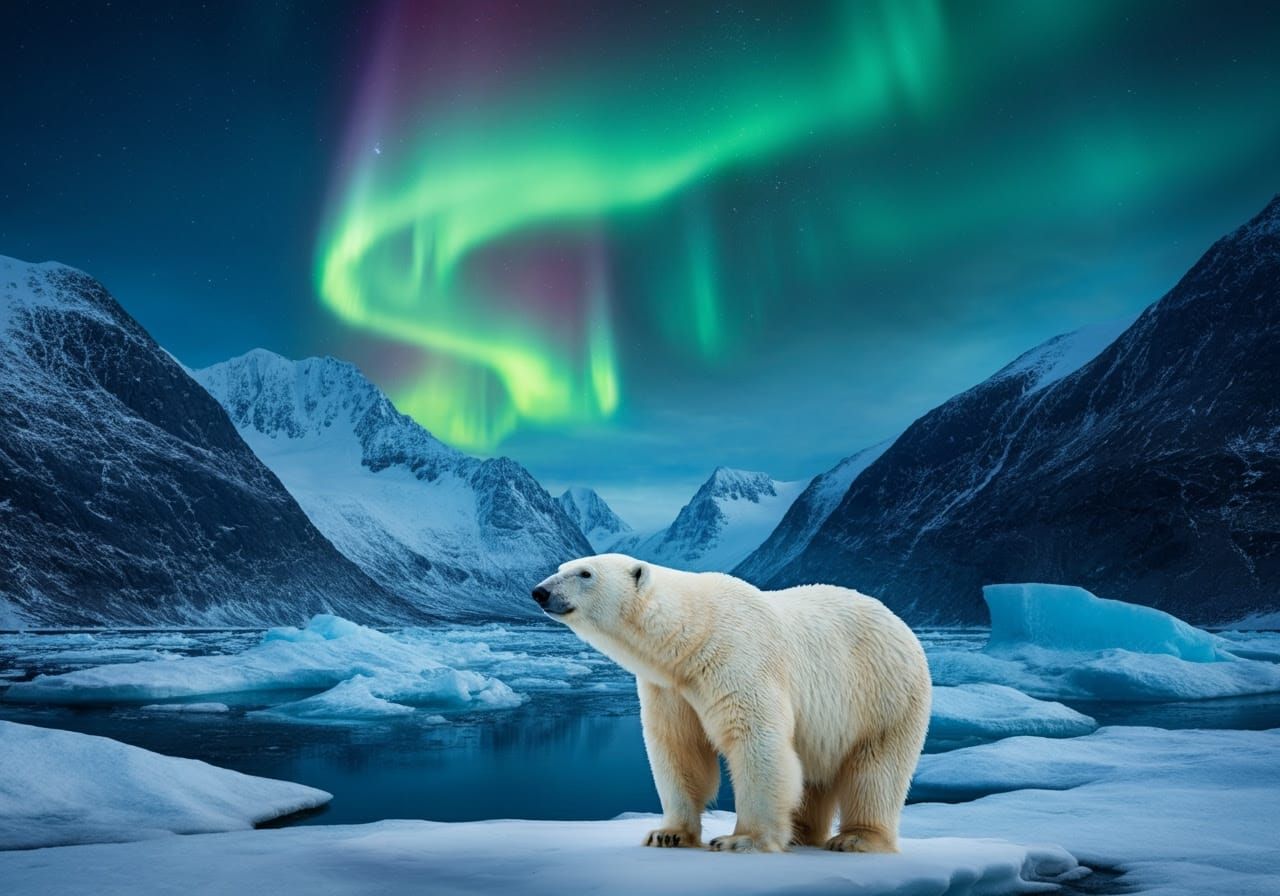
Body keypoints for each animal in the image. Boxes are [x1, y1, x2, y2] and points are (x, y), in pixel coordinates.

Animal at [532, 553, 931, 854]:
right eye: (562, 566)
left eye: (585, 573)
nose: (540, 591)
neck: (693, 635)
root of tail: (901, 624)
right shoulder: (670, 687)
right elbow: (680, 747)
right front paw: (667, 834)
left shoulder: (739, 659)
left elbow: (755, 738)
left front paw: (741, 839)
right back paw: (800, 834)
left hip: (883, 695)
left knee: (876, 770)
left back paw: (856, 838)